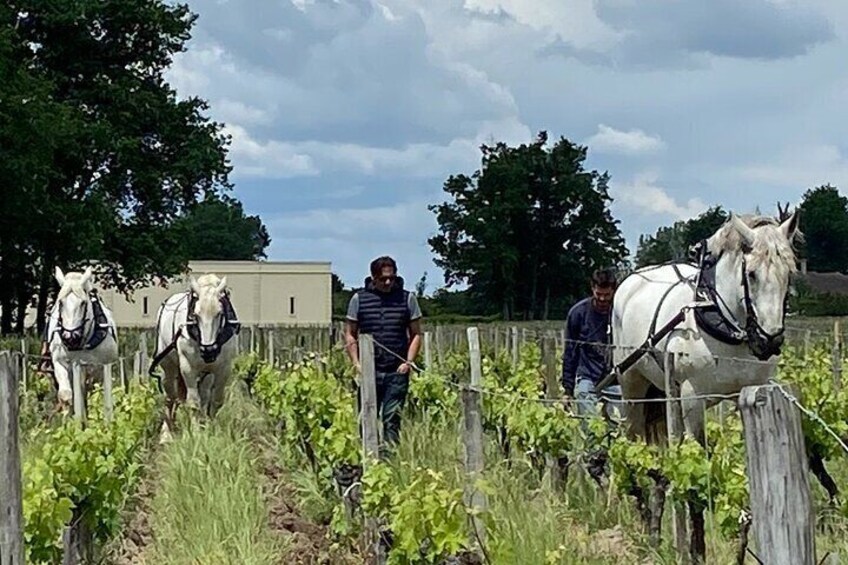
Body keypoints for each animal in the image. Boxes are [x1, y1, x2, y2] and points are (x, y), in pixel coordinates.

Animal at [46, 266, 120, 404]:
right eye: (60, 303)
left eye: (83, 303)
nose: (70, 337)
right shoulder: (59, 362)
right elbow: (66, 394)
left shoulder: (99, 368)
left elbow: (93, 392)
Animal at [150, 274, 238, 436]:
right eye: (195, 315)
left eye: (220, 313)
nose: (209, 350)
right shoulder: (188, 367)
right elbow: (193, 402)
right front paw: (196, 433)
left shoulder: (224, 368)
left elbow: (215, 401)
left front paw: (211, 430)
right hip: (168, 366)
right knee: (170, 396)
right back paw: (167, 432)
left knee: (203, 395)